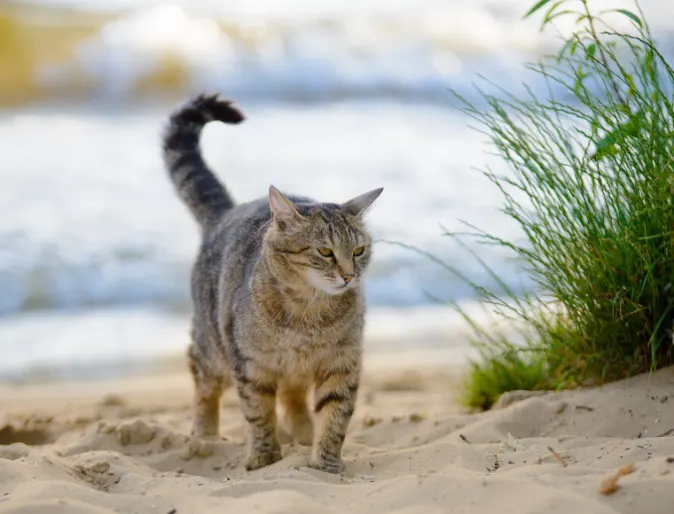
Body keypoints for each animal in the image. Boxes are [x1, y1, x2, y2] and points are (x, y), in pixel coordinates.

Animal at [161, 93, 384, 472]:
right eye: (325, 251)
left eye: (358, 250)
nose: (349, 275)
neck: (309, 311)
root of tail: (226, 212)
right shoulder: (250, 365)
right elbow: (259, 413)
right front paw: (265, 455)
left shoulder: (342, 363)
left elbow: (336, 414)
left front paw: (325, 461)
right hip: (212, 348)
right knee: (204, 387)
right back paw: (205, 436)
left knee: (293, 398)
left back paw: (302, 435)